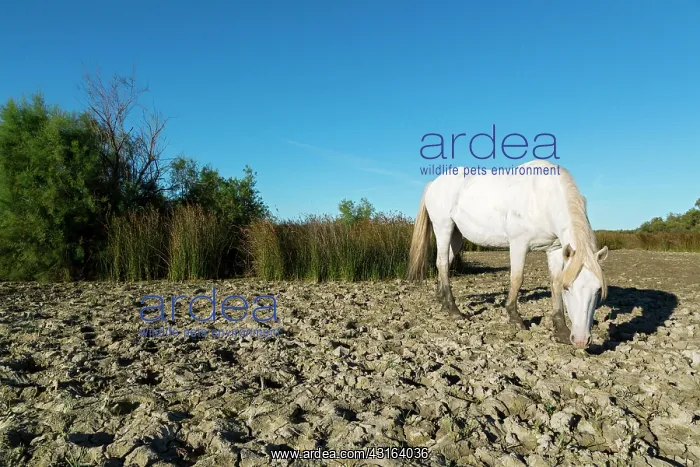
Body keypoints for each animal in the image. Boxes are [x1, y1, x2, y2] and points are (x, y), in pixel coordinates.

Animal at [407, 160, 608, 349]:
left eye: (598, 289)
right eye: (569, 288)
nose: (581, 340)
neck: (542, 197)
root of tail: (434, 183)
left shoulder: (555, 249)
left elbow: (555, 282)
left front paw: (561, 330)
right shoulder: (519, 243)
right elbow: (517, 278)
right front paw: (514, 317)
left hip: (456, 236)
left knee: (444, 263)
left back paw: (442, 301)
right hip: (443, 228)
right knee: (442, 263)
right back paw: (454, 310)